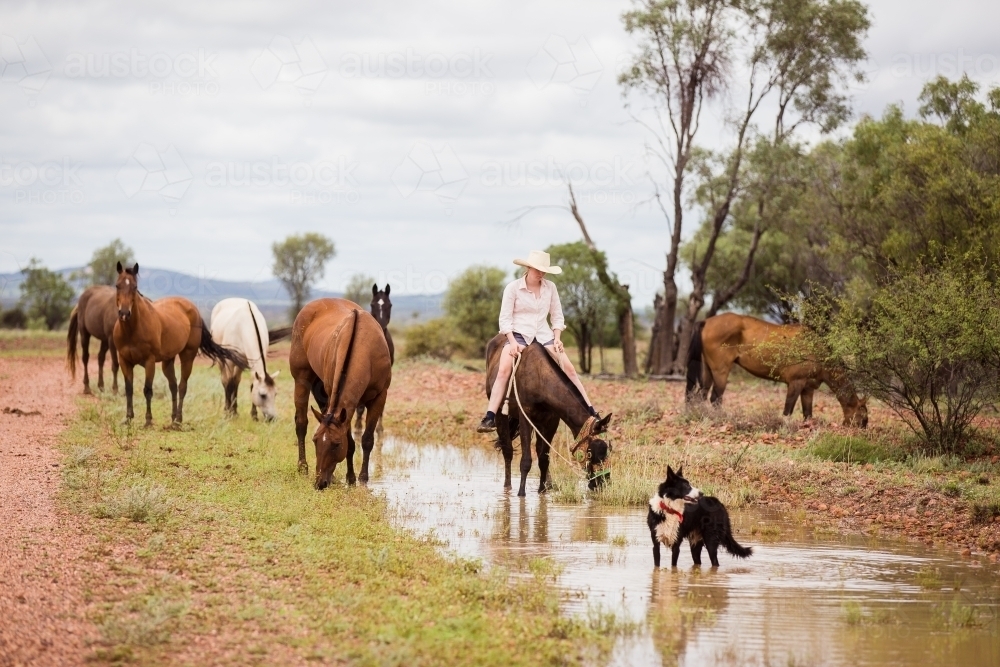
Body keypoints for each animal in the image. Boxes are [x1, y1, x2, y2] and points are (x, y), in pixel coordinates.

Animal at [112, 262, 247, 426]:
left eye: (134, 286)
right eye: (117, 285)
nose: (124, 314)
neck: (133, 330)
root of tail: (194, 309)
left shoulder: (149, 362)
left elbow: (148, 390)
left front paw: (148, 420)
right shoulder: (124, 361)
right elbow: (129, 389)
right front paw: (128, 418)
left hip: (187, 356)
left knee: (182, 386)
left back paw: (178, 420)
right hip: (167, 361)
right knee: (173, 386)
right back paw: (173, 417)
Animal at [289, 298, 392, 490]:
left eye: (336, 445)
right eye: (315, 440)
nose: (320, 483)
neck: (363, 347)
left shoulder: (380, 397)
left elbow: (367, 439)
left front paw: (363, 478)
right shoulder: (342, 401)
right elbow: (350, 443)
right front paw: (350, 478)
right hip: (301, 379)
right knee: (301, 423)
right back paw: (303, 467)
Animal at [486, 333, 613, 497]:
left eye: (608, 449)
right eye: (592, 451)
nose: (603, 483)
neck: (540, 378)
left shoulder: (552, 421)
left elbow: (543, 458)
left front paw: (542, 490)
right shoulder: (525, 417)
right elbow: (526, 460)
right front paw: (521, 493)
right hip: (501, 414)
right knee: (507, 450)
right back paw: (507, 487)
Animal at [686, 313, 868, 427]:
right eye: (863, 417)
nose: (863, 430)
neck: (815, 349)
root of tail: (706, 322)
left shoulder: (808, 389)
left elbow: (807, 413)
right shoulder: (795, 383)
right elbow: (788, 410)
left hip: (708, 371)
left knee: (702, 396)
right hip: (721, 372)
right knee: (715, 399)